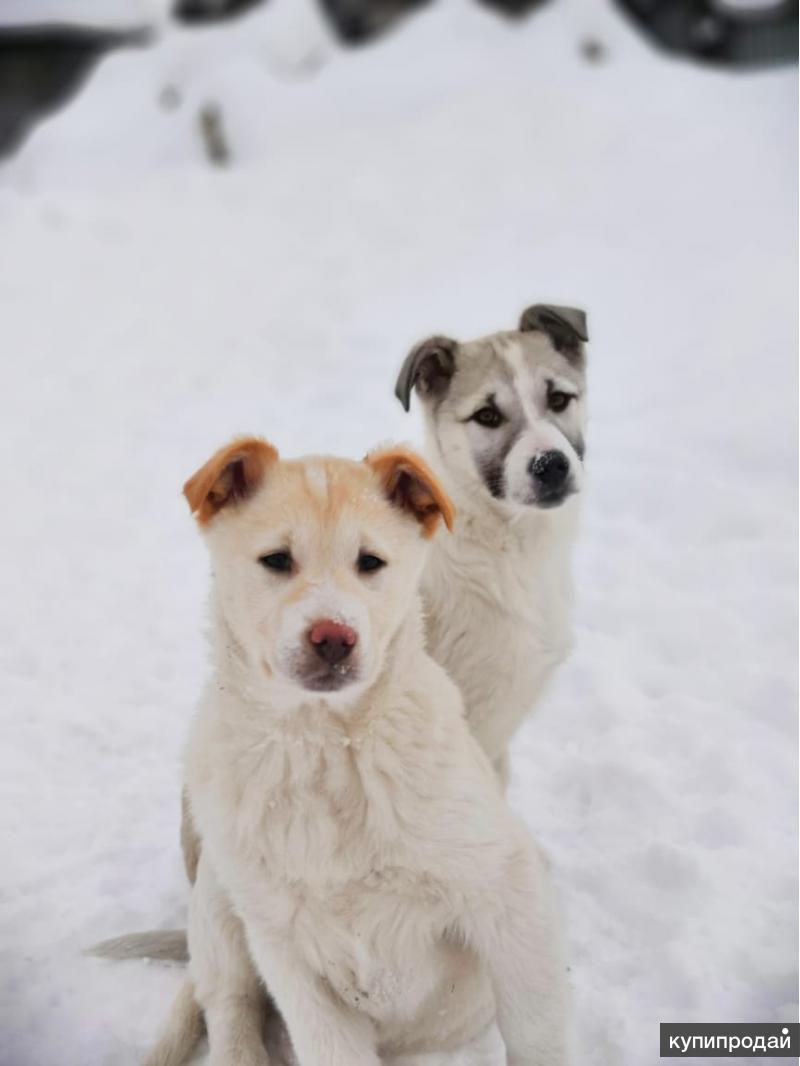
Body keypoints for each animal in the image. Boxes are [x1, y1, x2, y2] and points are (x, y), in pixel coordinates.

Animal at [144, 434, 571, 1066]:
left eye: (370, 562)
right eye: (277, 560)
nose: (333, 638)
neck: (327, 747)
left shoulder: (506, 887)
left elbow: (537, 1029)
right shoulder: (289, 955)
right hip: (223, 904)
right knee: (229, 1007)